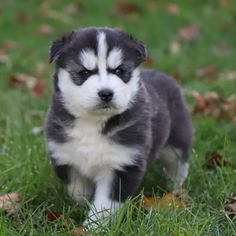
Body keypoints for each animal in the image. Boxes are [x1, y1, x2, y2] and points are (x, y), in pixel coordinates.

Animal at [45, 27, 193, 227]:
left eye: (119, 70)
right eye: (84, 72)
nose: (106, 93)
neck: (93, 123)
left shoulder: (122, 165)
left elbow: (104, 205)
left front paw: (93, 227)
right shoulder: (66, 159)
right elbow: (76, 190)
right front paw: (81, 206)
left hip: (176, 140)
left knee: (178, 164)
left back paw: (175, 188)